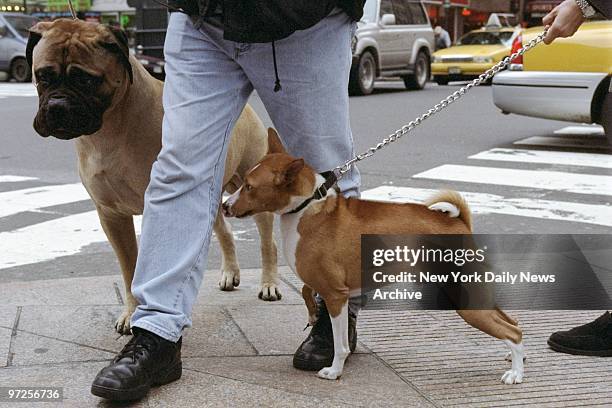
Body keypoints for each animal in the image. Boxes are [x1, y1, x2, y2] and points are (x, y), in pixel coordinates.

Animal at [25, 18, 280, 334]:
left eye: (86, 80)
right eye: (42, 76)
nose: (57, 106)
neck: (109, 128)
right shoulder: (111, 214)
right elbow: (130, 268)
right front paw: (131, 312)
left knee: (268, 242)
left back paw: (269, 283)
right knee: (225, 231)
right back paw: (230, 273)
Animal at [224, 129, 524, 384]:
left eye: (249, 186)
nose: (225, 206)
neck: (307, 208)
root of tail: (459, 222)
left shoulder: (336, 295)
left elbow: (341, 344)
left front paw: (334, 371)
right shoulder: (327, 285)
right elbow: (307, 290)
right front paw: (311, 313)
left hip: (465, 298)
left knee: (514, 331)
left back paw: (515, 373)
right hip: (475, 291)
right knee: (513, 322)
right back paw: (513, 358)